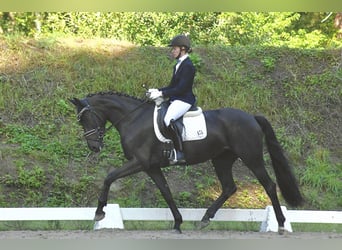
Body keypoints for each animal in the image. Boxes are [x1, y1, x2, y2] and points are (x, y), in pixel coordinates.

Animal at [69, 92, 302, 234]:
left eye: (86, 118)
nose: (94, 147)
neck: (132, 119)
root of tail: (252, 117)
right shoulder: (151, 167)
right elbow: (166, 192)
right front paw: (178, 223)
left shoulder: (140, 162)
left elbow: (108, 177)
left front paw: (100, 212)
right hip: (221, 160)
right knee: (229, 187)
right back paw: (205, 218)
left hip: (251, 157)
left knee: (269, 185)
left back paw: (281, 224)